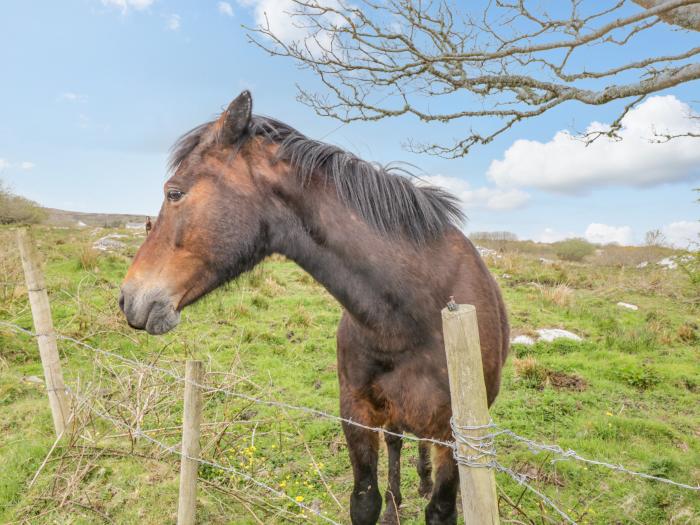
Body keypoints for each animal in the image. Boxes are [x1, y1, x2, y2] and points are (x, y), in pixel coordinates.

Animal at [117, 91, 506, 524]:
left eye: (175, 193)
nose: (128, 297)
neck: (412, 314)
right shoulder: (356, 415)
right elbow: (365, 500)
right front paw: (388, 505)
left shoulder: (455, 437)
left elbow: (440, 510)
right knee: (396, 446)